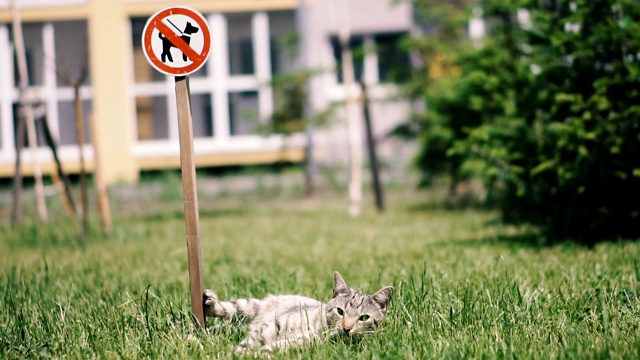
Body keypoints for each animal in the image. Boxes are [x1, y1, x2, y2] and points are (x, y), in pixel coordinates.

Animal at [202, 272, 392, 352]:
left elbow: (271, 349)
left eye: (364, 318)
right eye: (340, 311)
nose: (347, 328)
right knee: (226, 311)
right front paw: (240, 353)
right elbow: (252, 342)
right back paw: (210, 303)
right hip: (249, 305)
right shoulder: (275, 325)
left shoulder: (302, 342)